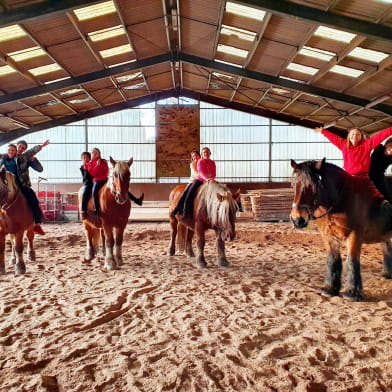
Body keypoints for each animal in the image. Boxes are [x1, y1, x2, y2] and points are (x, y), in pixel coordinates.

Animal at [290, 158, 392, 302]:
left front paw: (352, 293)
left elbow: (352, 260)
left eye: (312, 186)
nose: (297, 219)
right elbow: (333, 259)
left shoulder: (354, 235)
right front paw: (330, 289)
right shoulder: (328, 235)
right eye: (293, 185)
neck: (341, 200)